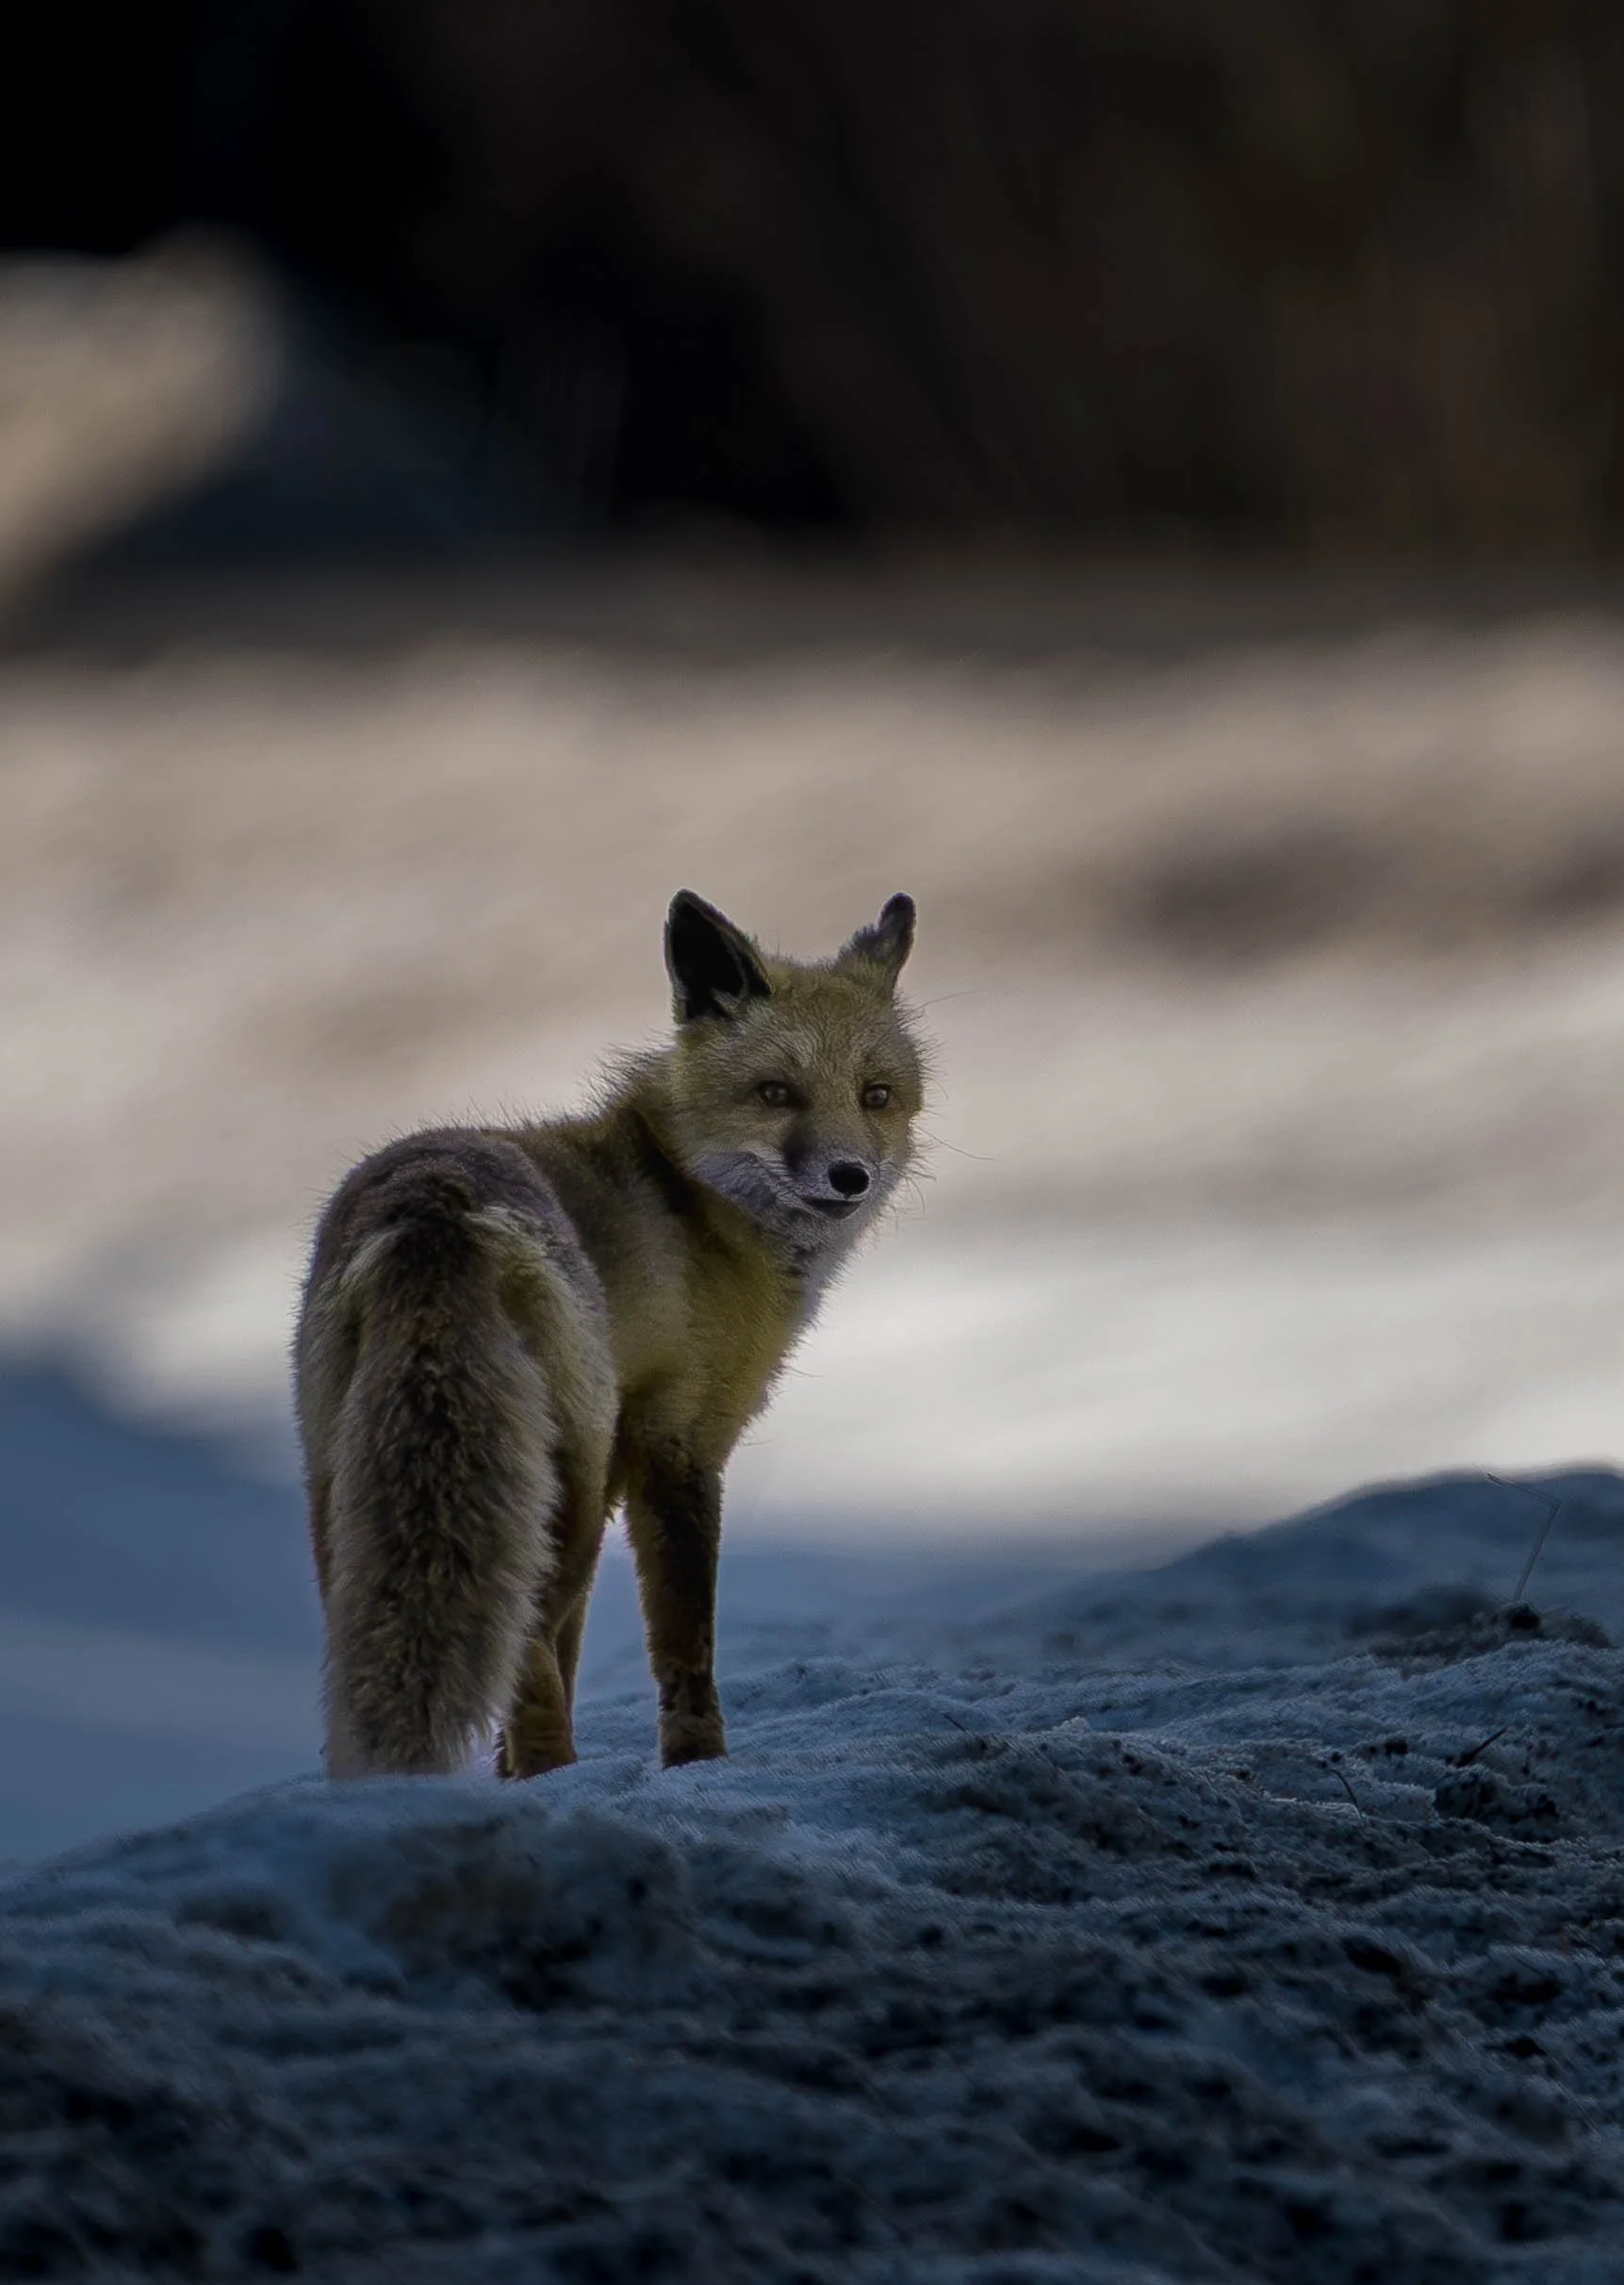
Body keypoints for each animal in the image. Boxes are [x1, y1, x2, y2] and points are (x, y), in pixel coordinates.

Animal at [295, 890, 924, 1780]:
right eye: (776, 1093)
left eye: (875, 1095)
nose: (850, 1177)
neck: (693, 1203)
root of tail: (433, 1206)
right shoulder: (678, 1447)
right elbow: (684, 1642)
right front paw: (697, 1761)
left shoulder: (630, 1464)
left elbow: (578, 1644)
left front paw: (506, 1776)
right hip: (567, 1486)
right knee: (526, 1641)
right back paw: (552, 1772)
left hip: (351, 1484)